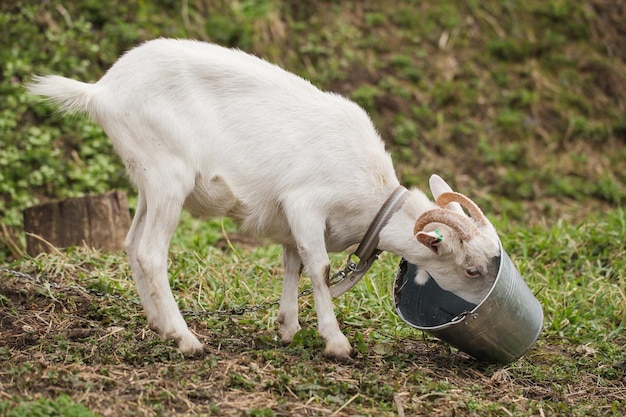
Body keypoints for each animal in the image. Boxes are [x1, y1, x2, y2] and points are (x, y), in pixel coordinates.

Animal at [28, 38, 498, 358]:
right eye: (472, 269)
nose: (475, 311)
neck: (373, 195)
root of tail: (102, 90)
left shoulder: (292, 222)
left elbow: (293, 264)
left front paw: (287, 328)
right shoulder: (306, 203)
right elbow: (320, 268)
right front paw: (336, 343)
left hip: (146, 177)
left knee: (129, 244)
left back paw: (160, 326)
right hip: (168, 174)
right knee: (149, 252)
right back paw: (187, 340)